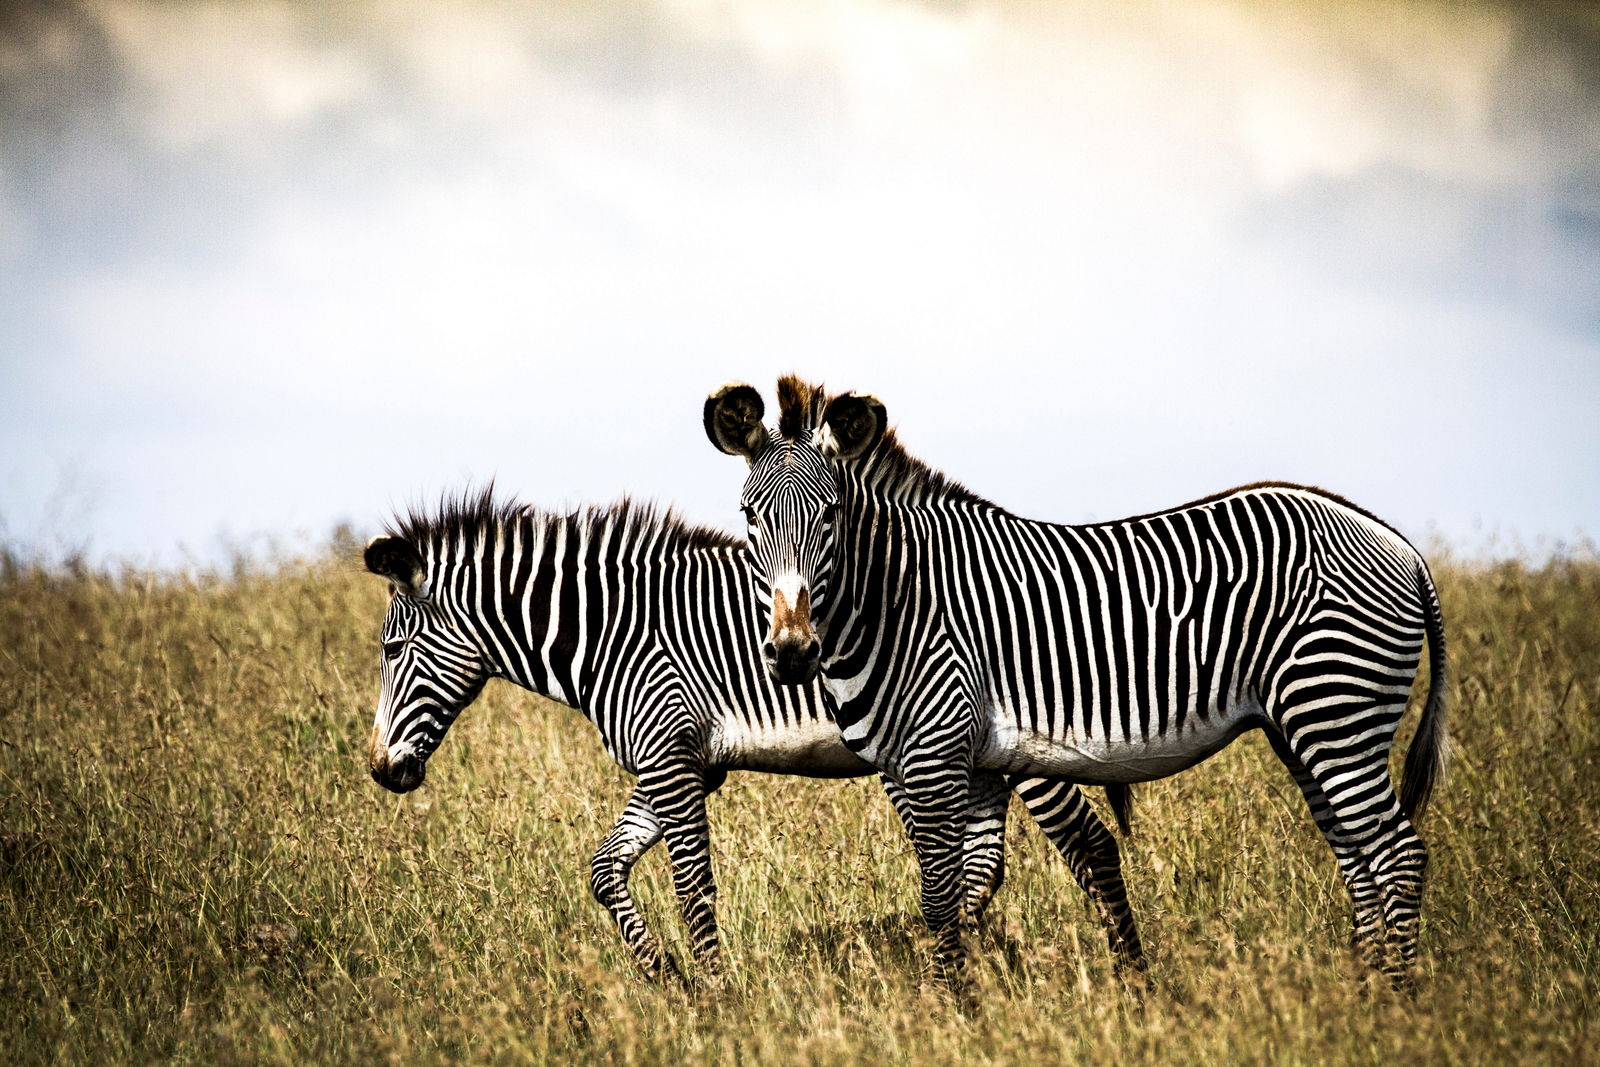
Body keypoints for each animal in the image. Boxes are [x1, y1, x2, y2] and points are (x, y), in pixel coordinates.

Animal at [362, 489, 1146, 981]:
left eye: (392, 649)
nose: (378, 771)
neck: (610, 631)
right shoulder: (679, 762)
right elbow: (604, 871)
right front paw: (665, 975)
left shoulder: (671, 755)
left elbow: (694, 889)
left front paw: (716, 998)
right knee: (992, 865)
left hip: (1025, 743)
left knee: (1090, 847)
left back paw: (1129, 979)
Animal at [705, 376, 1450, 985]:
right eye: (749, 515)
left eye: (829, 515)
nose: (792, 653)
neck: (894, 599)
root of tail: (1397, 542)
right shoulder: (963, 764)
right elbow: (967, 887)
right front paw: (974, 1001)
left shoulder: (935, 751)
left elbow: (942, 895)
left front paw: (945, 1009)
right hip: (1302, 727)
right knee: (1358, 858)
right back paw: (1361, 993)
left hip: (1336, 709)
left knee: (1397, 855)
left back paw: (1398, 1004)